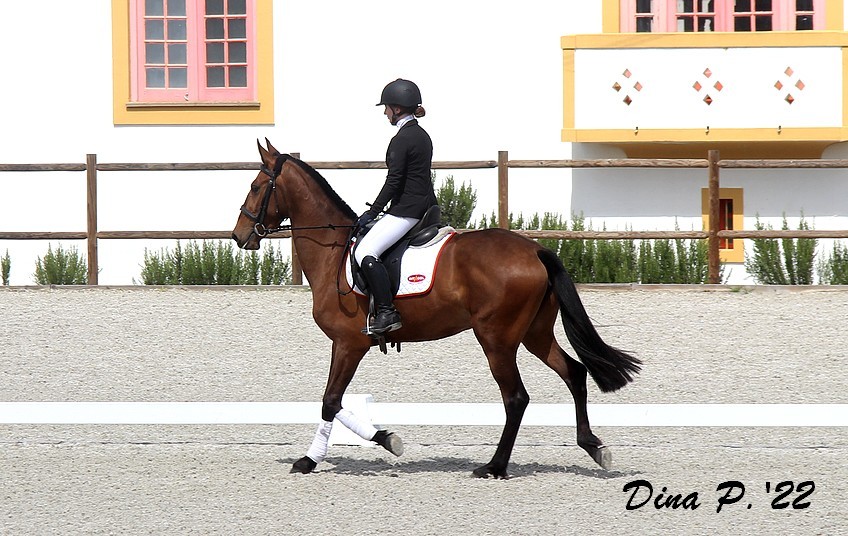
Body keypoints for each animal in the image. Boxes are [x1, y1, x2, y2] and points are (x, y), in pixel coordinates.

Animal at [231, 139, 641, 478]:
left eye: (255, 187)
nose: (239, 236)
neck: (334, 253)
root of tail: (535, 249)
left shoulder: (349, 343)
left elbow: (330, 401)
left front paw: (327, 455)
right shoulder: (347, 345)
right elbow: (334, 401)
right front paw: (366, 444)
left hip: (496, 339)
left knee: (516, 398)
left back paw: (494, 466)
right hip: (534, 334)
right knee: (574, 373)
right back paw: (593, 447)